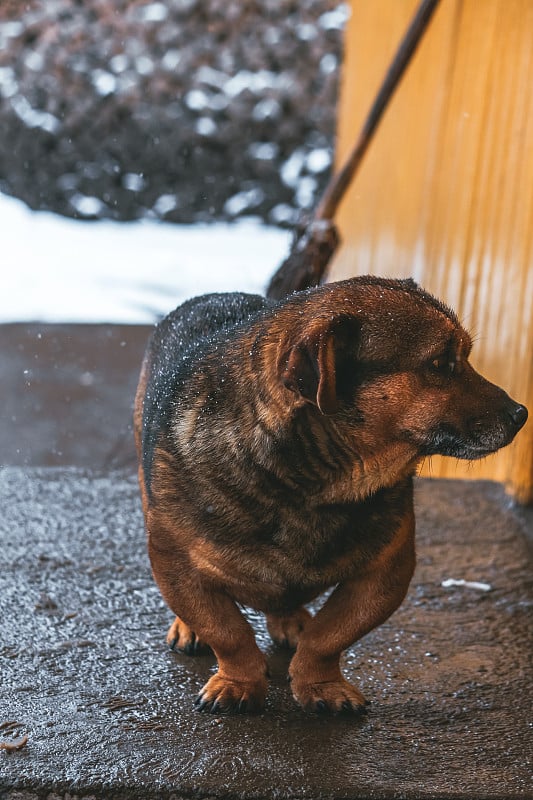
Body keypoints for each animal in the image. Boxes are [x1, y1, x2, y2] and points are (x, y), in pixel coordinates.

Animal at [134, 278, 528, 716]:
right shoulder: (175, 565)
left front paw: (320, 684)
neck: (312, 481)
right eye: (440, 363)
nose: (521, 414)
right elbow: (228, 632)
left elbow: (329, 637)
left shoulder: (387, 572)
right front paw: (238, 682)